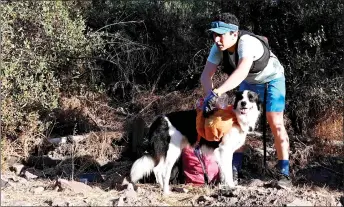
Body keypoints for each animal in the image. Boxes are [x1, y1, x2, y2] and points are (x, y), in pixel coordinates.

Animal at [130, 89, 260, 194]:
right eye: (241, 98)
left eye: (251, 97)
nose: (243, 103)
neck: (236, 118)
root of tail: (159, 119)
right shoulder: (224, 150)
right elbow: (228, 171)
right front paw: (231, 187)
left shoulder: (224, 153)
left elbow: (224, 171)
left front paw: (224, 186)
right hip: (172, 152)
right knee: (162, 171)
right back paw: (166, 192)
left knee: (157, 170)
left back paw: (163, 189)